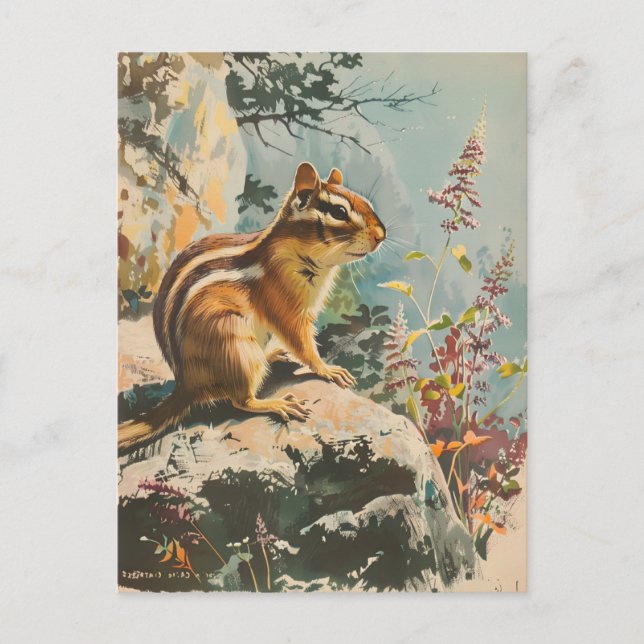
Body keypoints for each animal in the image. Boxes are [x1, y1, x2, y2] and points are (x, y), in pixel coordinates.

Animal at [118, 162, 386, 453]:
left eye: (368, 204)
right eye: (339, 212)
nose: (381, 235)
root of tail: (186, 385)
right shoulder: (285, 305)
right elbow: (302, 343)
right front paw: (327, 369)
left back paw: (274, 355)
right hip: (234, 345)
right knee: (241, 401)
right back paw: (277, 403)